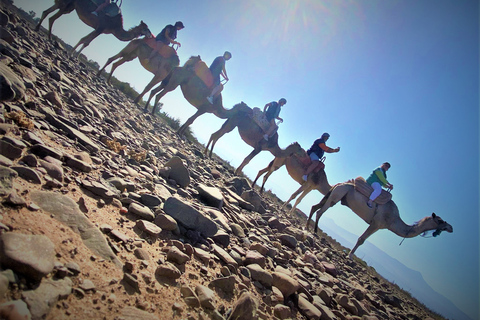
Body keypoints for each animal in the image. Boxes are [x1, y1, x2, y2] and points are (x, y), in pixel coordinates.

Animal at [306, 180, 452, 260]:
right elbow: (361, 239)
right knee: (320, 211)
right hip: (337, 195)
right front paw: (350, 256)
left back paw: (307, 227)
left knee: (314, 207)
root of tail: (341, 183)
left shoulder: (378, 225)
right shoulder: (377, 224)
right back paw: (314, 231)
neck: (394, 219)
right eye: (440, 221)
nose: (450, 228)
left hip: (334, 194)